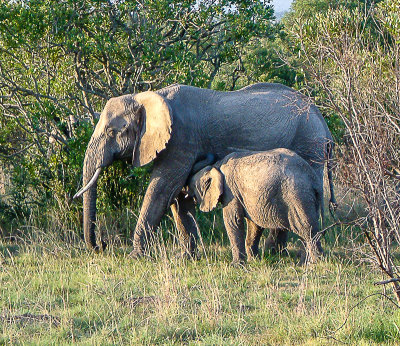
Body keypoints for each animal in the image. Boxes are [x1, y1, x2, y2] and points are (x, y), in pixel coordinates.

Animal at [189, 149, 324, 264]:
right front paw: (254, 261)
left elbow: (233, 221)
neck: (217, 165)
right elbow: (254, 225)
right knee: (306, 230)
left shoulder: (231, 191)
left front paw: (237, 265)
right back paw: (304, 264)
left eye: (192, 188)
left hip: (297, 196)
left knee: (307, 229)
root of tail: (313, 180)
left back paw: (315, 264)